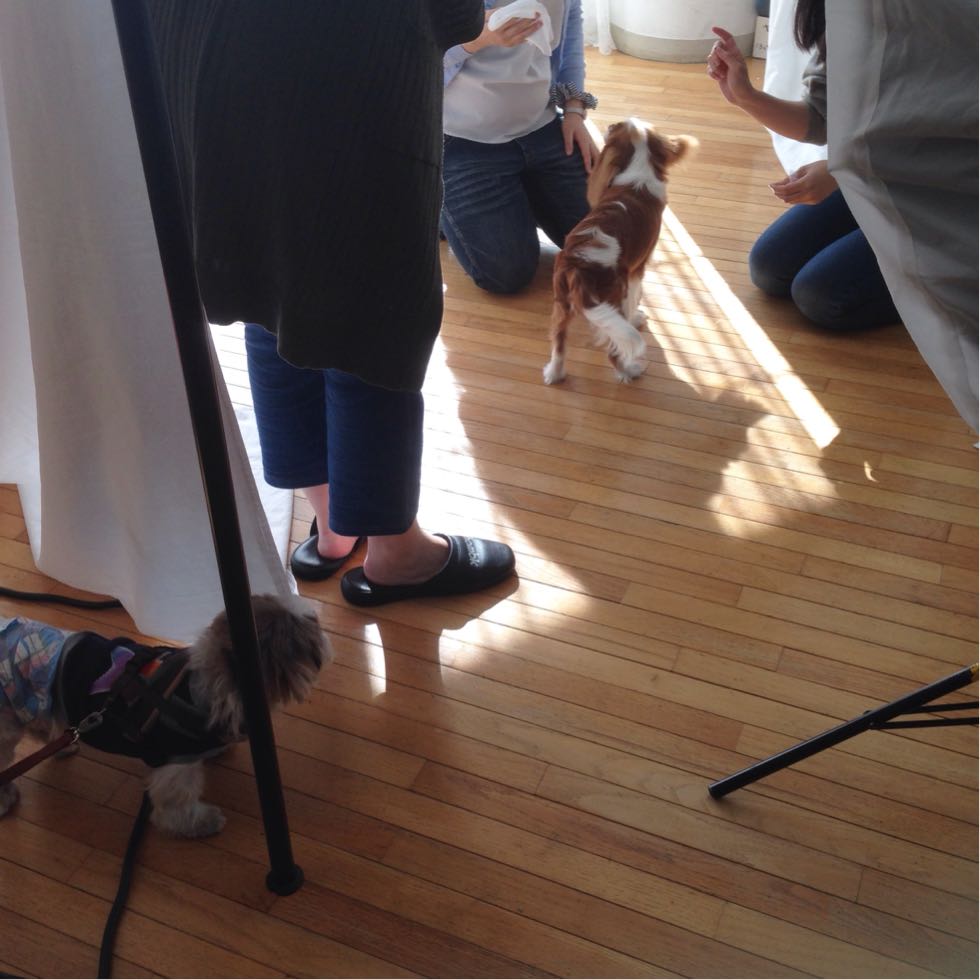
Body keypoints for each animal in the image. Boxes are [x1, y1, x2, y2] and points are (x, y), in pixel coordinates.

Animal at [0, 593, 328, 837]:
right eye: (309, 631)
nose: (323, 632)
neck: (197, 687)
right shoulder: (176, 764)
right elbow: (175, 802)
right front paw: (199, 822)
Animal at [543, 118, 697, 384]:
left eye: (615, 126)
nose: (607, 126)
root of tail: (578, 263)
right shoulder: (638, 269)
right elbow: (635, 298)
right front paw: (637, 318)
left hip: (561, 304)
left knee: (559, 343)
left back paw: (555, 373)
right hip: (614, 295)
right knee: (614, 350)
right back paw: (630, 371)